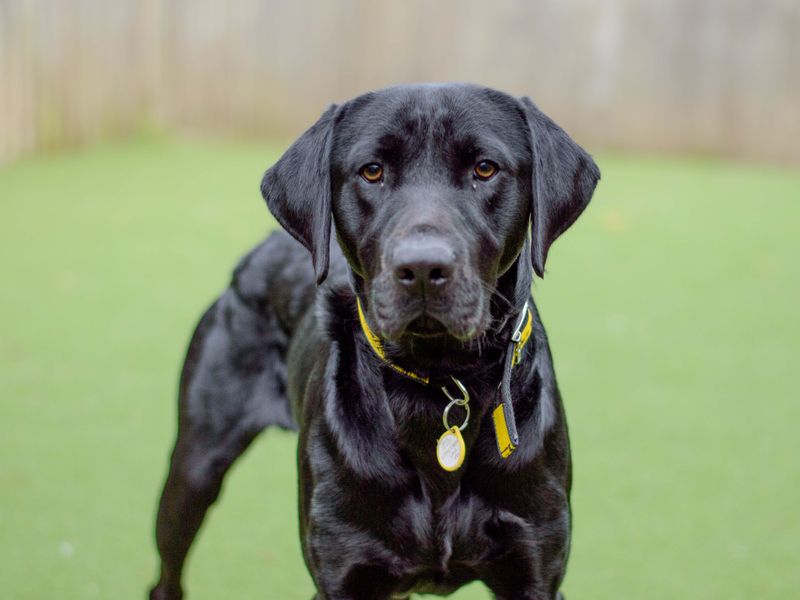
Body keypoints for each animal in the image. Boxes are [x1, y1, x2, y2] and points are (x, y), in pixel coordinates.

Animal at [150, 84, 600, 600]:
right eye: (372, 171)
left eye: (485, 168)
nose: (422, 267)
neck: (439, 381)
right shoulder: (343, 571)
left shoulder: (535, 569)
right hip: (195, 466)